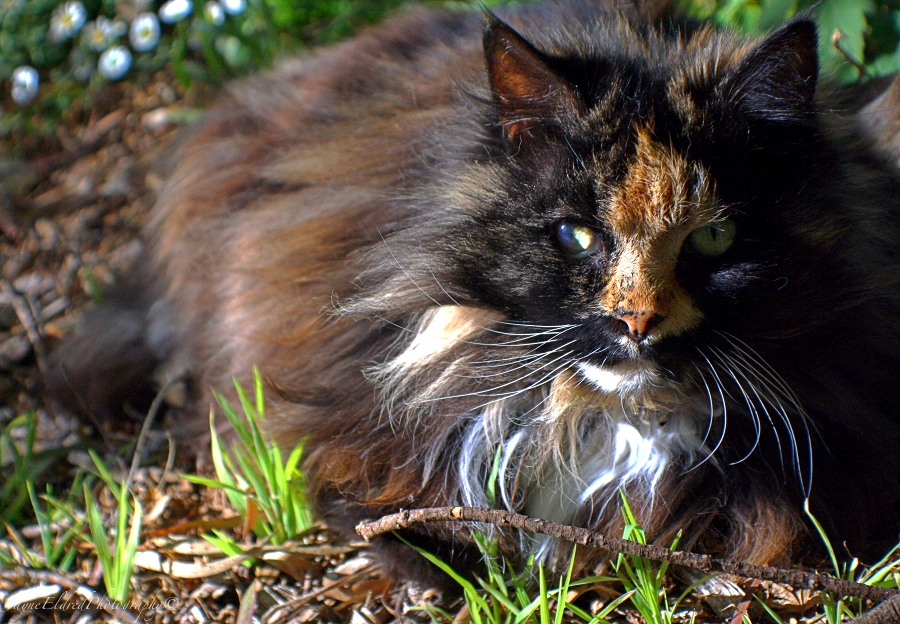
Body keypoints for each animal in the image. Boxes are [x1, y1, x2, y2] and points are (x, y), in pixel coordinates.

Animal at [47, 0, 900, 584]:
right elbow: (388, 518)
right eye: (577, 236)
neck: (605, 421)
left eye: (714, 240)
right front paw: (450, 576)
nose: (637, 322)